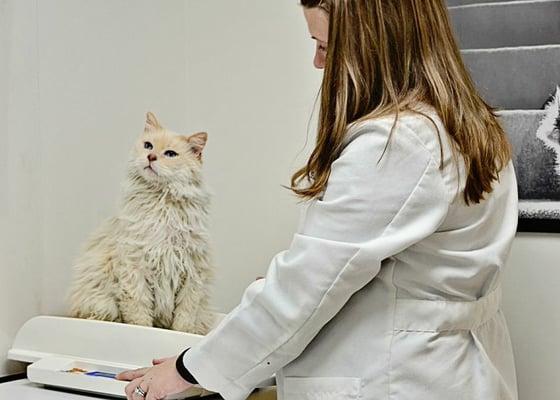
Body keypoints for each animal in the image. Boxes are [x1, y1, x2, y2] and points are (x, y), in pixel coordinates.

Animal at [66, 111, 214, 334]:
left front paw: (181, 333)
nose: (151, 157)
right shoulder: (134, 268)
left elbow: (184, 317)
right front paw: (143, 329)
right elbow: (139, 313)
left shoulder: (192, 272)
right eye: (148, 146)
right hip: (100, 303)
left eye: (170, 154)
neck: (161, 205)